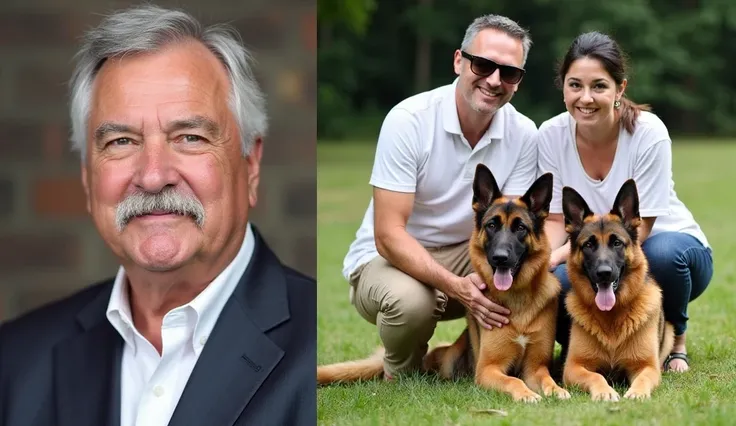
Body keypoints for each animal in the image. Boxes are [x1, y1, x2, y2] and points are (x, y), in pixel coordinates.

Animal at [420, 166, 568, 402]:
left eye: (520, 228)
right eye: (492, 225)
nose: (500, 258)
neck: (517, 298)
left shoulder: (535, 368)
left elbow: (547, 379)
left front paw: (557, 390)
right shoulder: (488, 369)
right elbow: (513, 380)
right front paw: (526, 394)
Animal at [560, 179, 676, 400]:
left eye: (616, 243)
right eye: (588, 245)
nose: (604, 273)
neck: (611, 318)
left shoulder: (648, 367)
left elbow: (643, 378)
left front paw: (637, 393)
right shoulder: (573, 367)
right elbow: (596, 376)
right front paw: (604, 392)